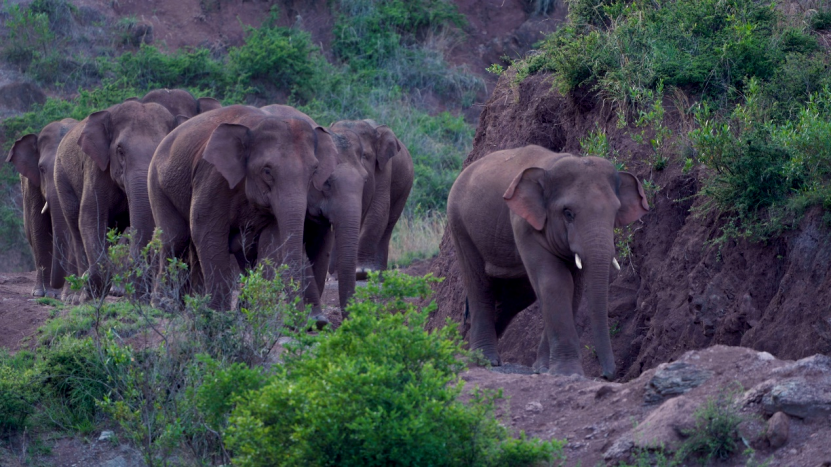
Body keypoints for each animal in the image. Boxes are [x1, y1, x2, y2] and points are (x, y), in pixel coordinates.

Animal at [55, 99, 180, 300]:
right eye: (120, 151)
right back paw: (77, 296)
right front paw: (90, 288)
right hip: (61, 176)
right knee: (75, 225)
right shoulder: (95, 167)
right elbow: (90, 218)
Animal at [148, 105, 336, 316]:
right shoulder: (213, 176)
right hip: (157, 181)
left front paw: (252, 313)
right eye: (267, 171)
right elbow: (207, 232)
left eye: (314, 171)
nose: (312, 319)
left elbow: (270, 240)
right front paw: (217, 315)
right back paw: (163, 307)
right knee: (175, 237)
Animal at [326, 119, 414, 278]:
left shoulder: (384, 168)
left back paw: (378, 272)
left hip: (405, 187)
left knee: (389, 223)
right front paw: (335, 275)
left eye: (364, 155)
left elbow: (377, 209)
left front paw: (362, 272)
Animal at [448, 144, 648, 378]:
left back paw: (466, 349)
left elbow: (574, 289)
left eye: (616, 212)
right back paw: (483, 359)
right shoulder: (524, 224)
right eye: (568, 213)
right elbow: (555, 282)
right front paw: (566, 373)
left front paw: (544, 369)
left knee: (517, 296)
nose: (605, 375)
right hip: (459, 224)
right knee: (480, 286)